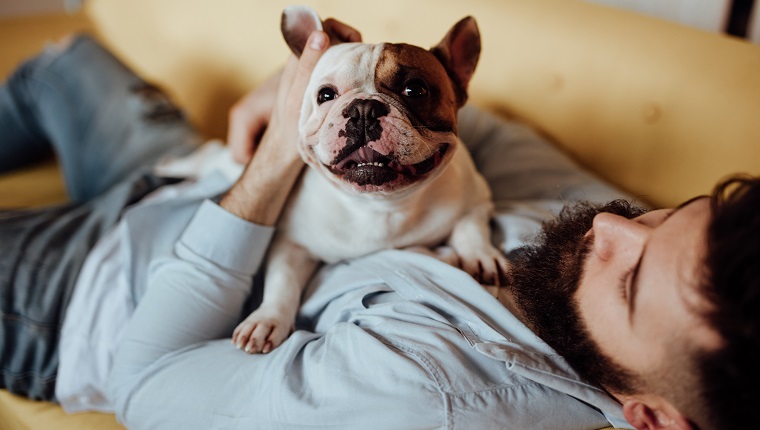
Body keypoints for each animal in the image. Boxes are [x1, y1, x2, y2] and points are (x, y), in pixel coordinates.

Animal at [230, 6, 504, 354]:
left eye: (415, 89)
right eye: (325, 95)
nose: (363, 109)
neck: (380, 205)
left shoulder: (476, 197)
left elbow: (471, 226)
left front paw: (479, 256)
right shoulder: (291, 242)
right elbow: (282, 281)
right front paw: (267, 319)